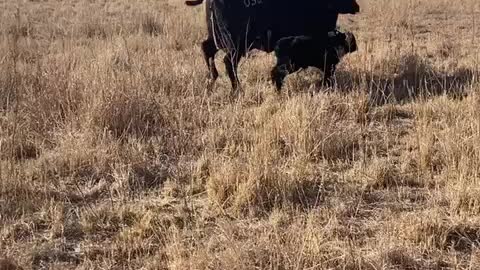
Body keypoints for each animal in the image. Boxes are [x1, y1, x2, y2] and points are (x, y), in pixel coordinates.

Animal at [186, 0, 358, 94]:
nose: (357, 7)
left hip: (218, 38)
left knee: (207, 49)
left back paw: (212, 78)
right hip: (236, 45)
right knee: (229, 63)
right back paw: (237, 89)